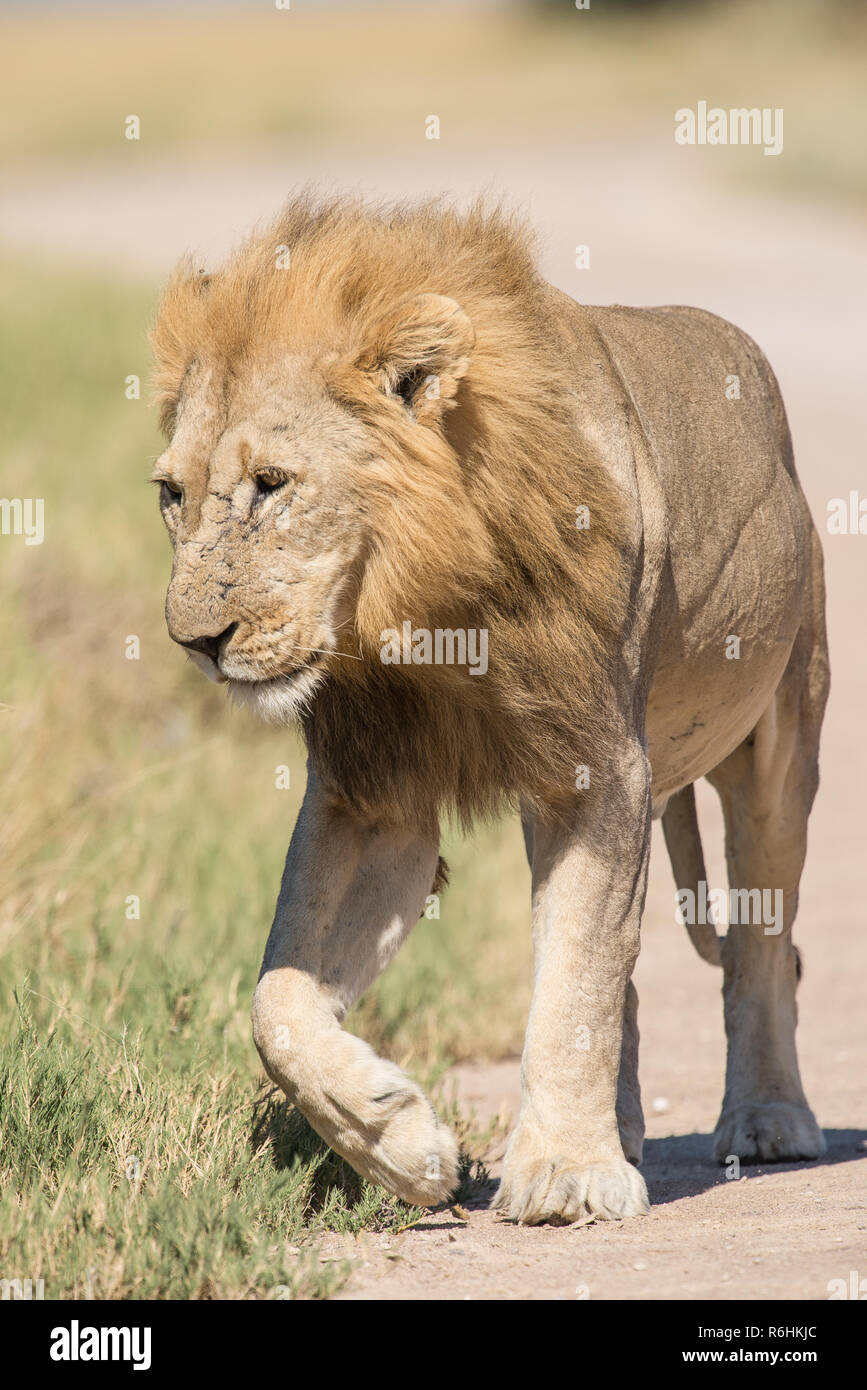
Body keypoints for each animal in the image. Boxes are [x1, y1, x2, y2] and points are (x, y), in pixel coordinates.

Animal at [150, 194, 828, 1225]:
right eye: (170, 494)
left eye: (271, 485)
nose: (196, 641)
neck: (417, 613)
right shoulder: (372, 796)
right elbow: (277, 1002)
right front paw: (396, 1140)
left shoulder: (598, 770)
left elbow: (575, 984)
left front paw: (565, 1174)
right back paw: (620, 1124)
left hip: (776, 747)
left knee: (760, 945)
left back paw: (766, 1118)